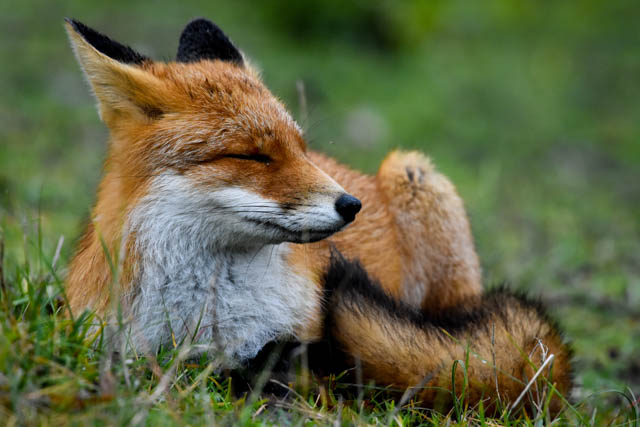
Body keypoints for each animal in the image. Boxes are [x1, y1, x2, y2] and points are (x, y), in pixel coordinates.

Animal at [64, 18, 572, 413]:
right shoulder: (108, 342)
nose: (350, 205)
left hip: (416, 176)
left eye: (301, 149)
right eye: (253, 156)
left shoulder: (300, 341)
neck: (205, 317)